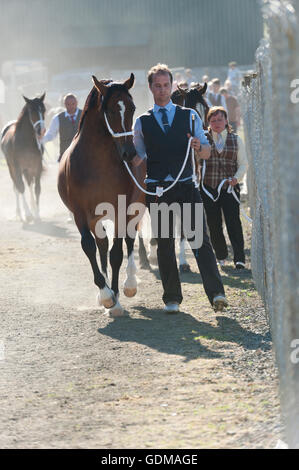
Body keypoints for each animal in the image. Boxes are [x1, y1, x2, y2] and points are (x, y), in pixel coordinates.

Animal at [0, 94, 46, 223]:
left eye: (44, 110)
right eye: (31, 111)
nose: (41, 131)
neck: (26, 141)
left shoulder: (37, 166)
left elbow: (37, 189)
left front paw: (37, 214)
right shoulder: (17, 167)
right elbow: (21, 187)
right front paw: (28, 214)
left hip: (27, 169)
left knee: (29, 185)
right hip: (12, 168)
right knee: (17, 187)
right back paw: (20, 213)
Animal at [58, 74, 146, 316]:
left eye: (132, 108)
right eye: (111, 110)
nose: (129, 153)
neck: (97, 165)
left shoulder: (121, 209)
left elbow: (117, 252)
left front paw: (115, 300)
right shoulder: (81, 213)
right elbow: (90, 246)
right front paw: (105, 295)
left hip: (136, 206)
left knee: (129, 239)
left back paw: (130, 284)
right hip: (95, 217)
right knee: (102, 245)